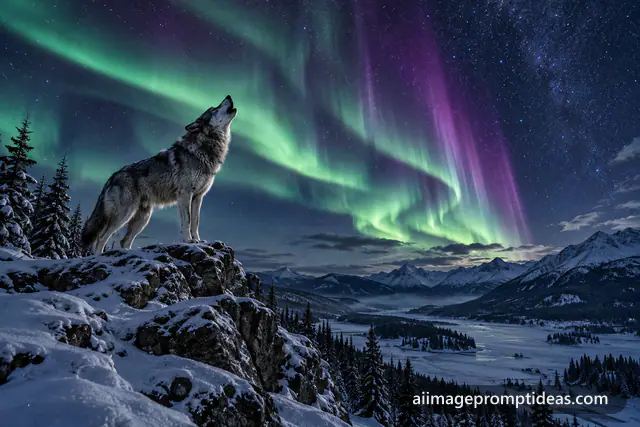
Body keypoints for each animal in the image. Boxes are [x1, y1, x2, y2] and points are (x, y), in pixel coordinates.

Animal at [81, 95, 237, 255]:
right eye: (214, 109)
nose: (228, 96)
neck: (204, 149)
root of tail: (112, 177)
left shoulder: (198, 197)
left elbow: (195, 222)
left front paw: (198, 240)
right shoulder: (185, 195)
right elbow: (187, 221)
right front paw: (188, 240)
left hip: (143, 218)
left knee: (124, 241)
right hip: (125, 214)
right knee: (101, 237)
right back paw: (99, 255)